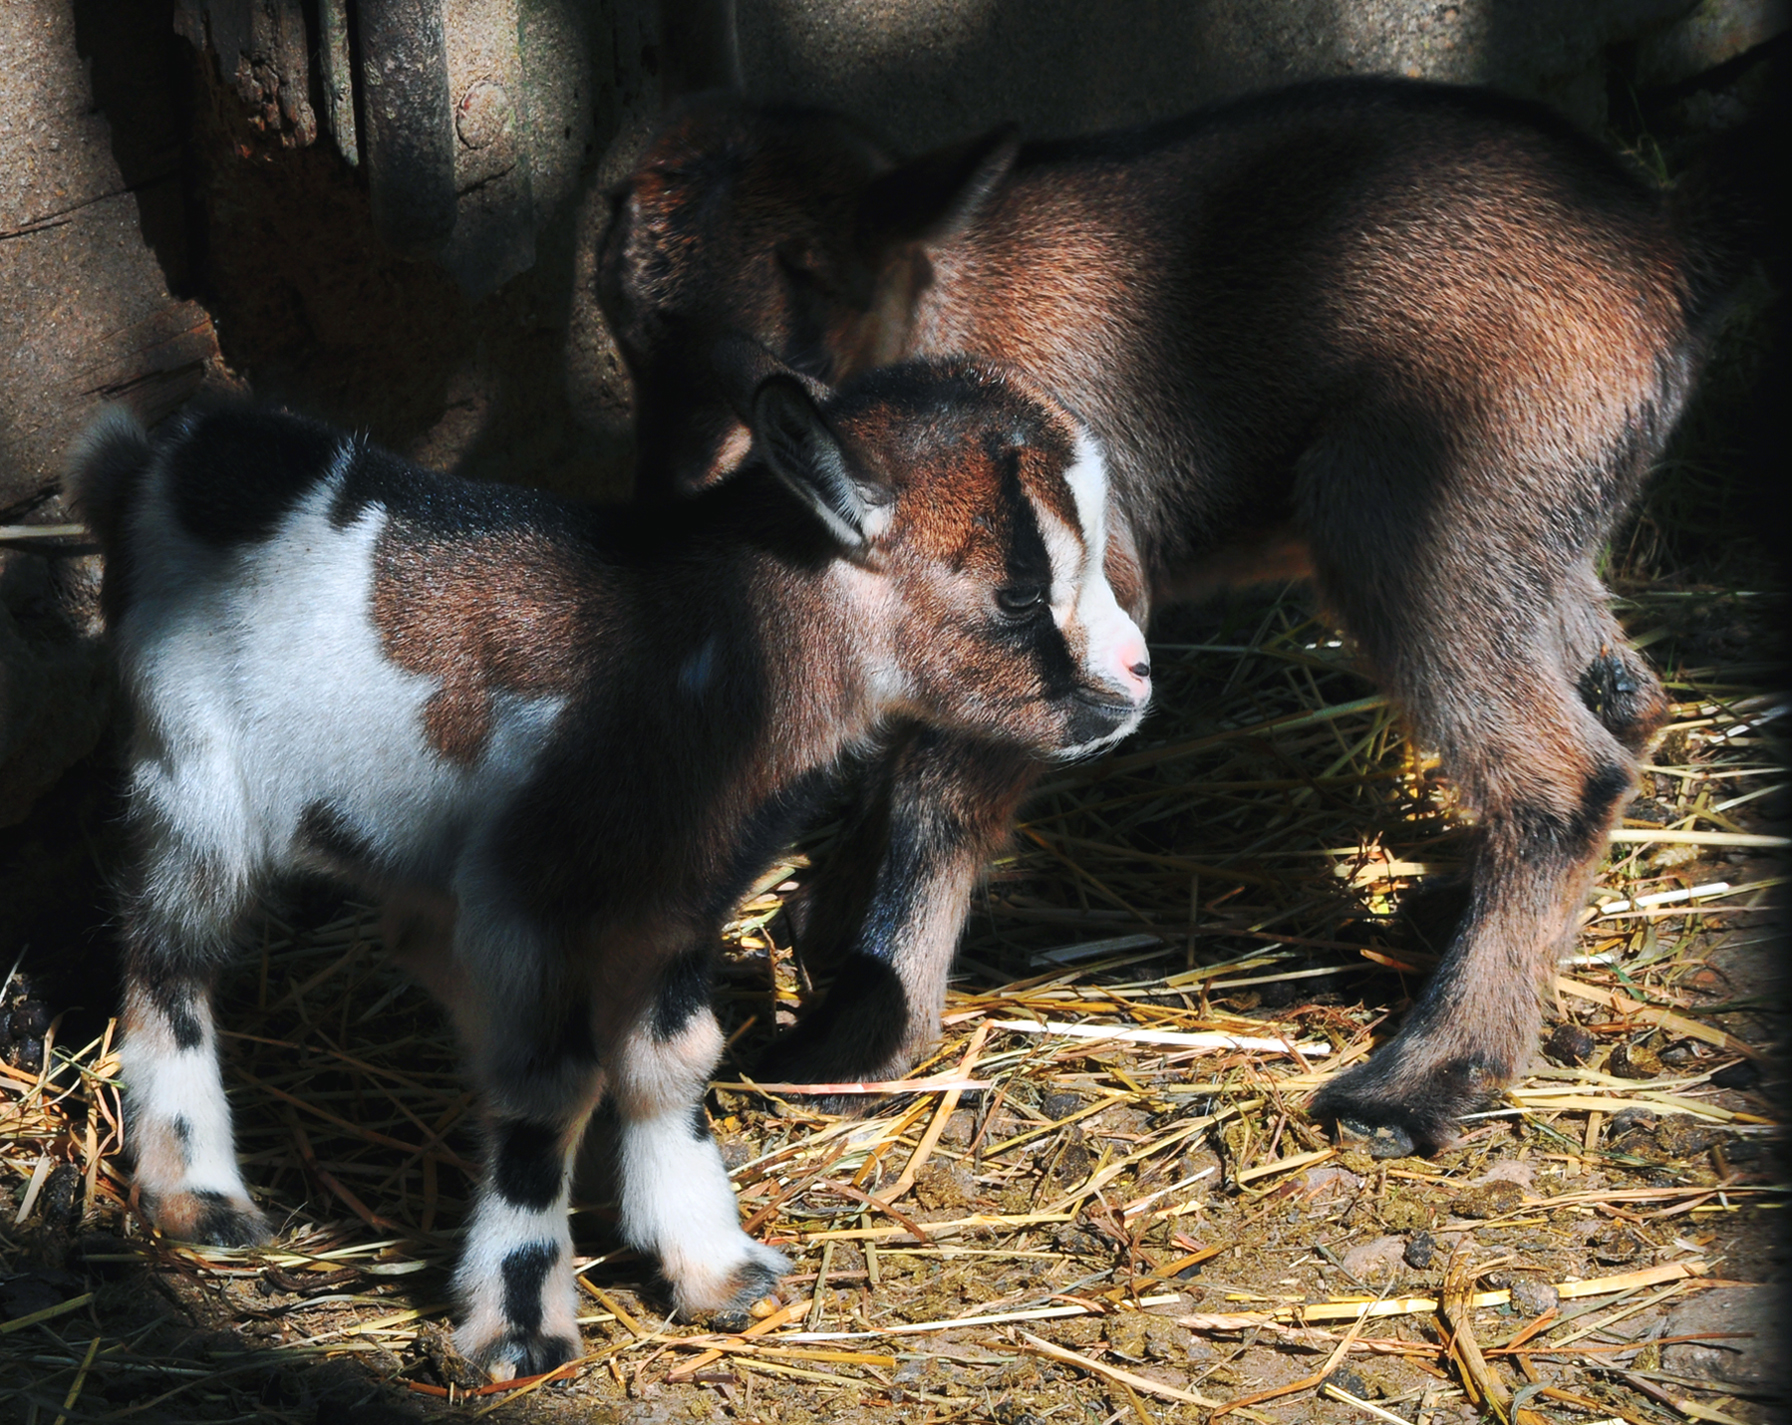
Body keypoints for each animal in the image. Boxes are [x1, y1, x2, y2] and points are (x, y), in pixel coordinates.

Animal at [73, 360, 1146, 1383]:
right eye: (1017, 593)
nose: (1138, 677)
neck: (715, 648)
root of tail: (158, 458)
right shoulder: (531, 898)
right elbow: (546, 1089)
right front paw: (518, 1327)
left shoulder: (676, 897)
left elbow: (670, 1061)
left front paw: (714, 1264)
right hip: (191, 779)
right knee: (167, 956)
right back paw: (198, 1196)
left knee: (413, 940)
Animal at [594, 75, 1756, 1161]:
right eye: (625, 336)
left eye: (787, 342)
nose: (660, 509)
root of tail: (1662, 251)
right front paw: (830, 925)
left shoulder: (1074, 581)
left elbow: (938, 794)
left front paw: (864, 1032)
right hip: (1529, 515)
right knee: (1621, 697)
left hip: (1414, 502)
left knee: (1565, 770)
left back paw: (1422, 1079)